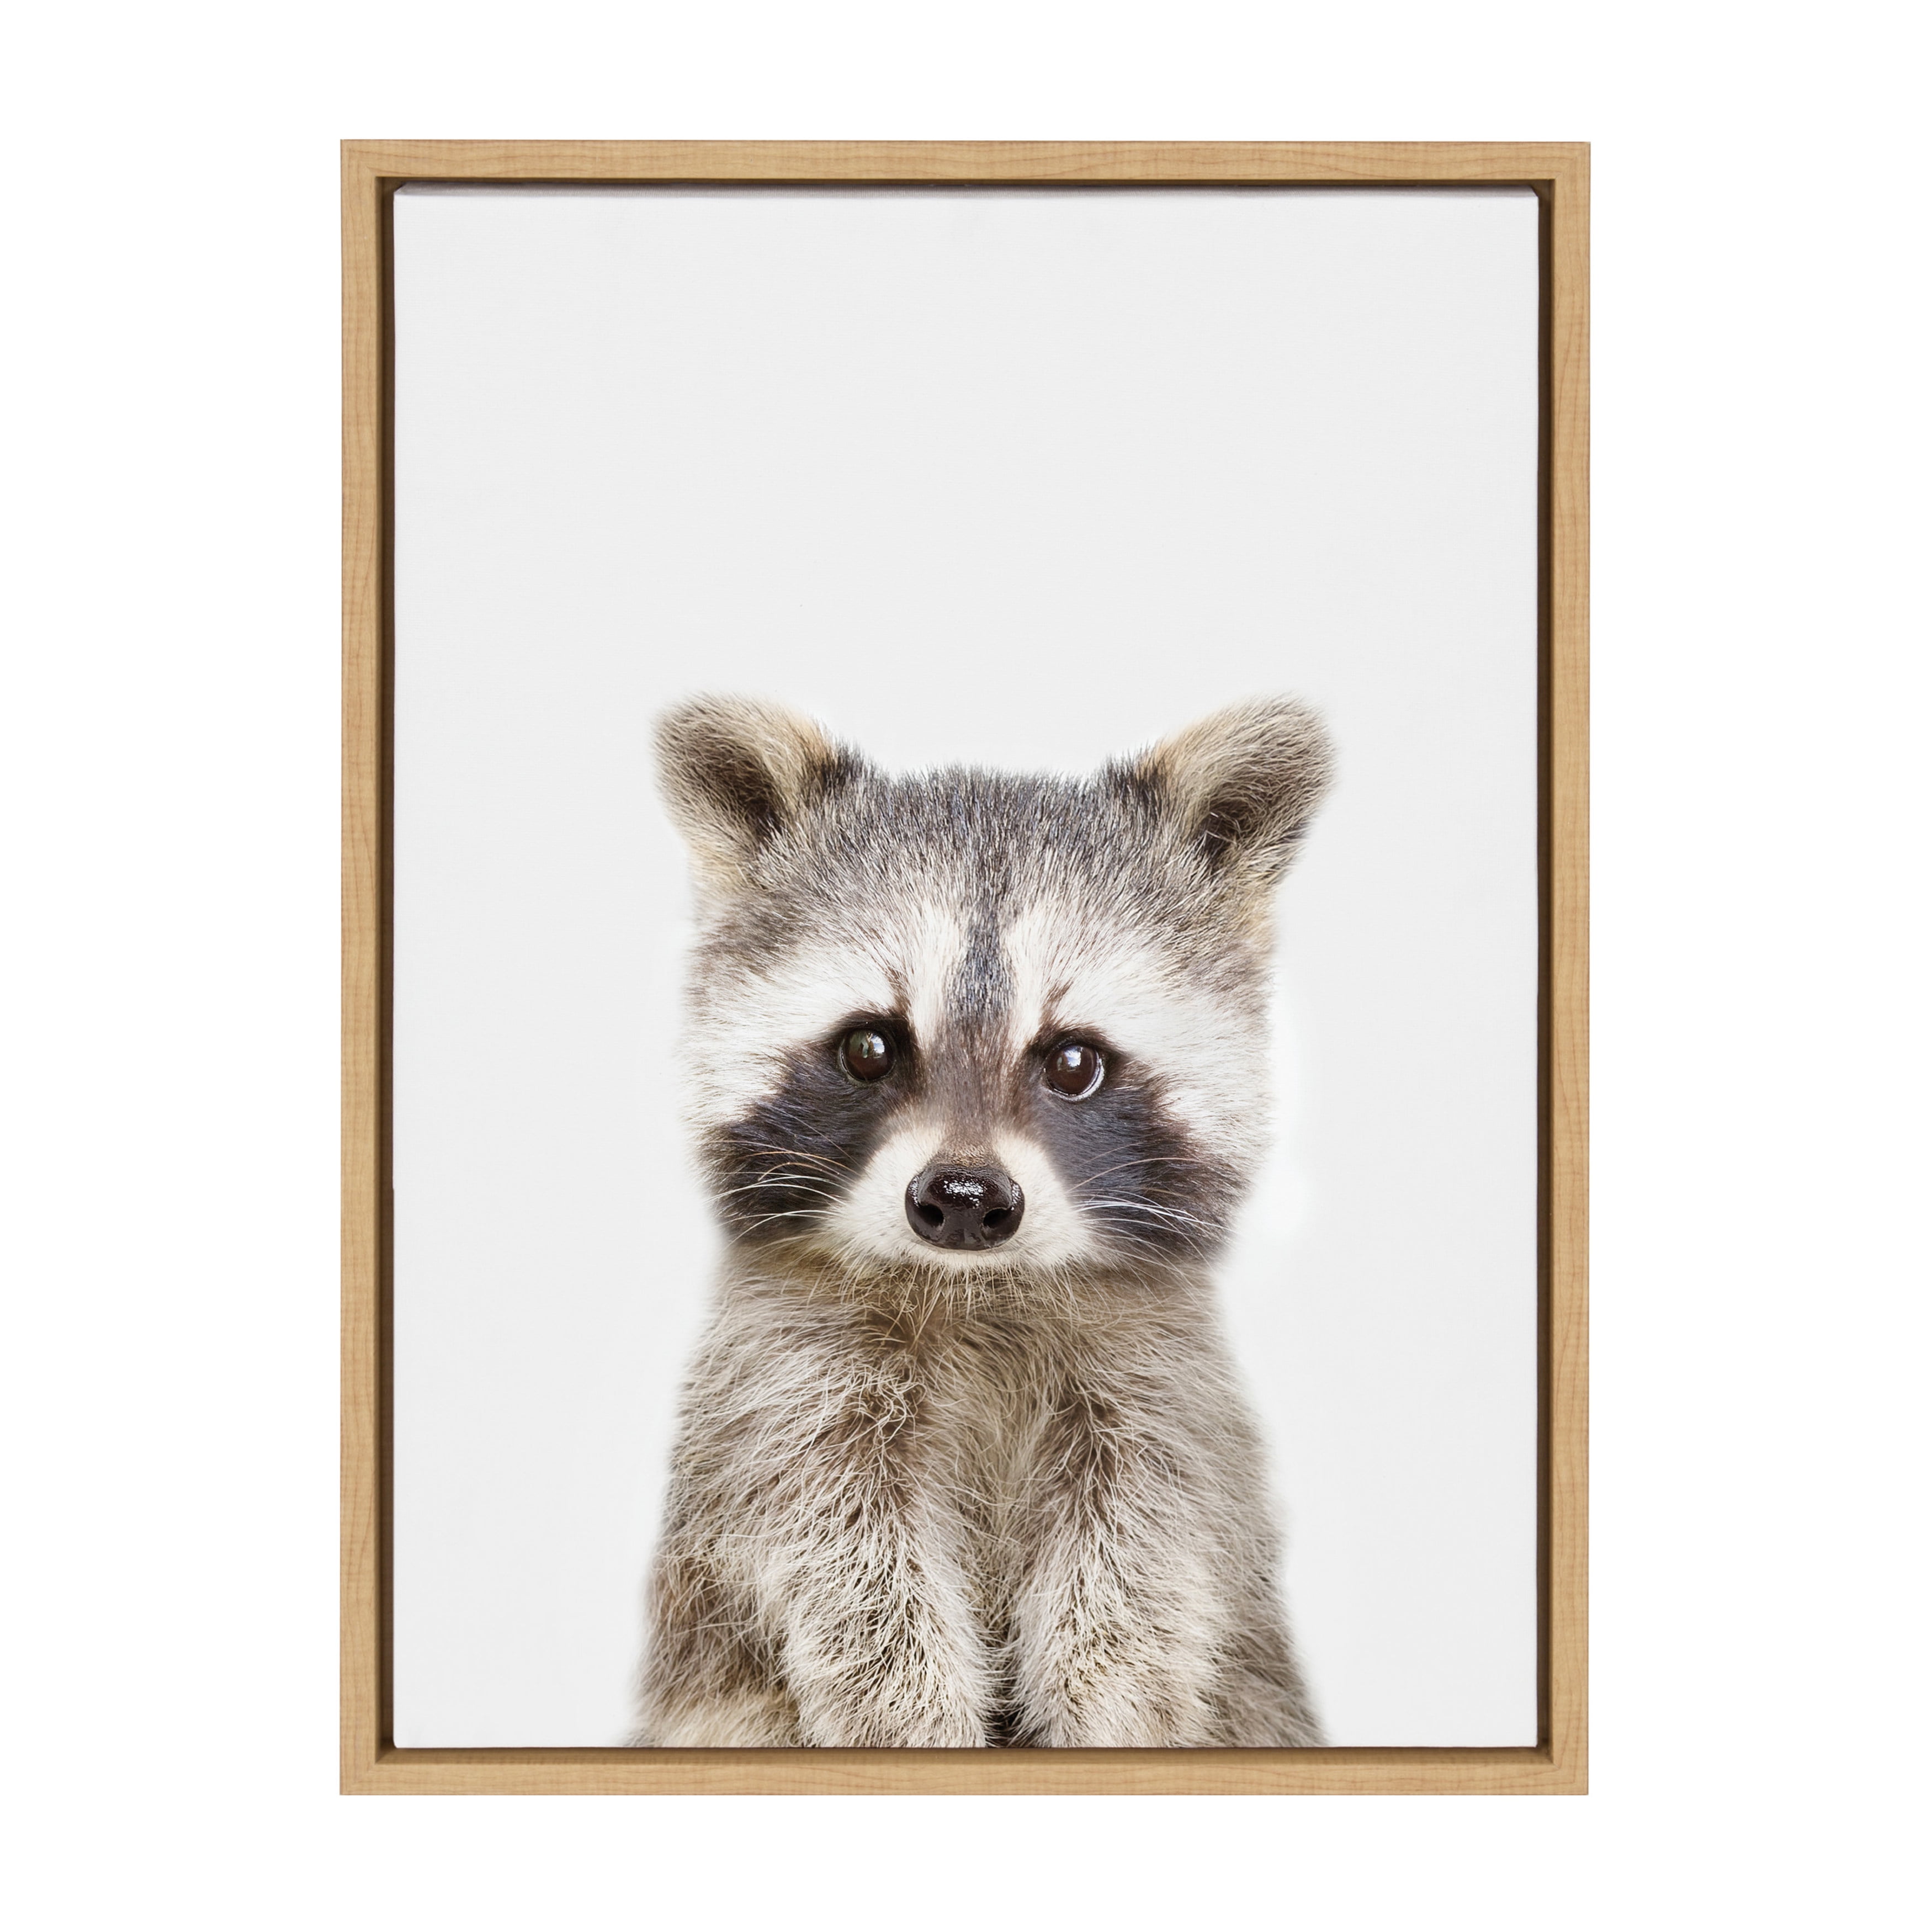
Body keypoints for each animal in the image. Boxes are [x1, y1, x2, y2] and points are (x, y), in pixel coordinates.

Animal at [633, 693, 1332, 1749]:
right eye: (870, 1047)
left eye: (1074, 1061)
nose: (963, 1201)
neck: (978, 1292)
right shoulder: (781, 1386)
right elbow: (847, 1565)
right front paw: (910, 1720)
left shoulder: (1161, 1391)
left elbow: (1141, 1570)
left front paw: (1105, 1715)